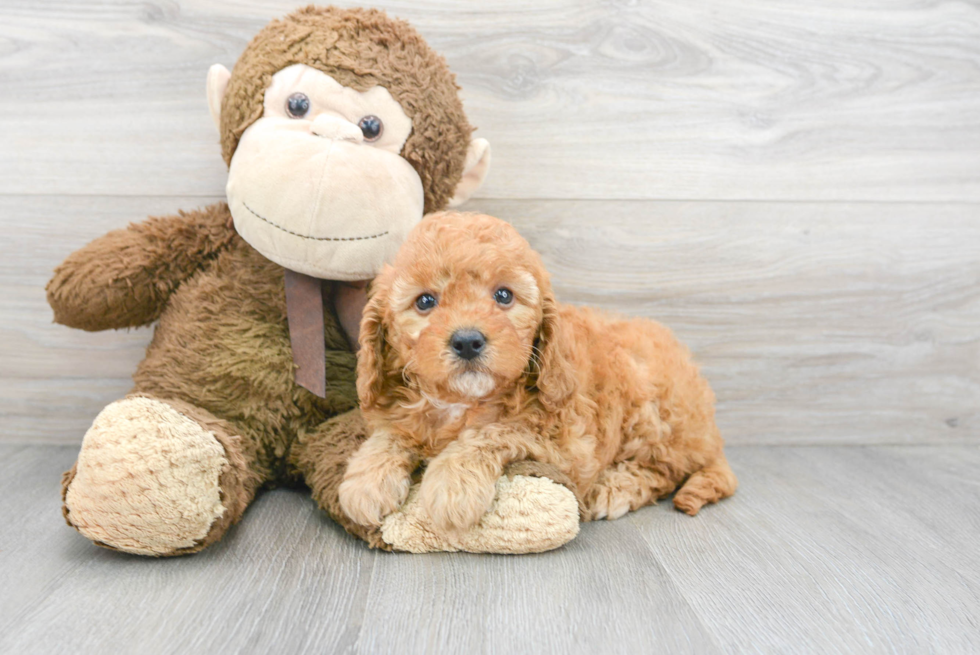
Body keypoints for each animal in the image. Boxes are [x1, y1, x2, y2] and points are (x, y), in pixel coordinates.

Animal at [336, 213, 736, 536]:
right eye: (424, 302)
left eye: (503, 295)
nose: (467, 341)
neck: (461, 401)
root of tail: (712, 432)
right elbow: (393, 432)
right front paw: (367, 479)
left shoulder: (567, 444)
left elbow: (493, 431)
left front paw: (454, 483)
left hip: (654, 408)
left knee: (667, 470)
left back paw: (616, 488)